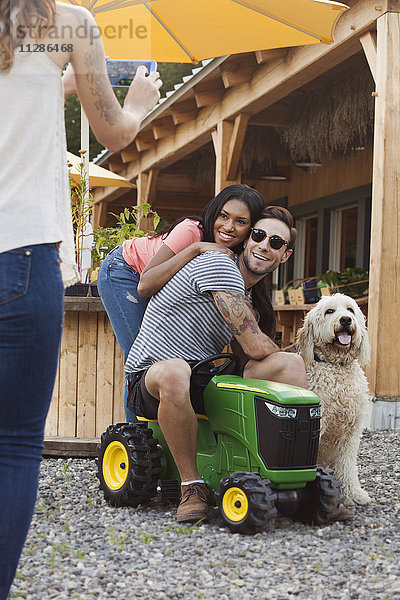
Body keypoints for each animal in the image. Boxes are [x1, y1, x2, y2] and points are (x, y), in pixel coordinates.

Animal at [296, 292, 372, 504]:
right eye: (329, 311)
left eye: (350, 310)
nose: (345, 319)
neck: (337, 366)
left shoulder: (352, 432)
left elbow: (347, 465)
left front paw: (353, 493)